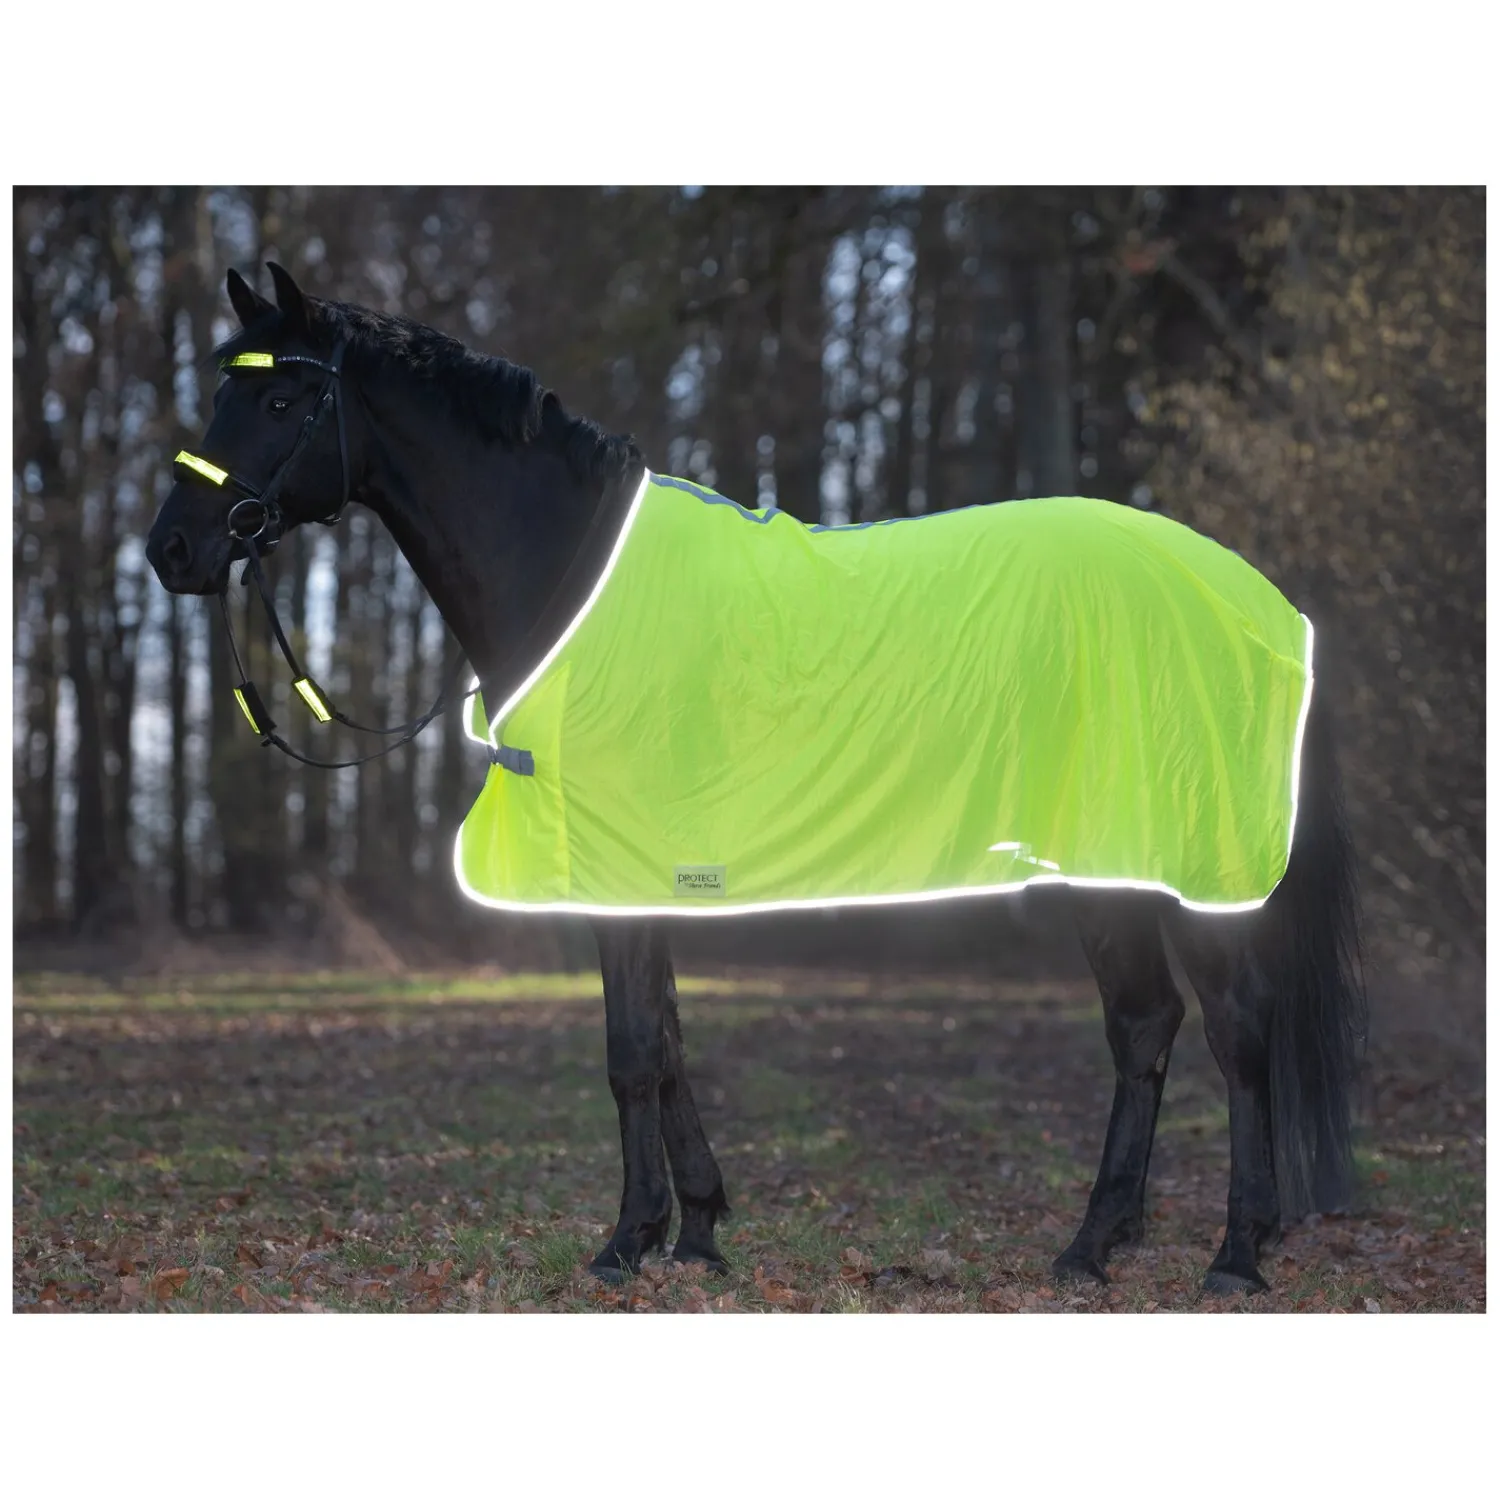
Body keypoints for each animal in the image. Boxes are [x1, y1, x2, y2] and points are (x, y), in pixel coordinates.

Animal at [145, 263, 1365, 1295]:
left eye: (282, 403)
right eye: (221, 394)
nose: (171, 551)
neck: (571, 578)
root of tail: (1257, 602)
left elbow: (633, 1054)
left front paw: (624, 1246)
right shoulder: (646, 868)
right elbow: (668, 1044)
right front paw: (693, 1229)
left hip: (1183, 860)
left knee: (1234, 1030)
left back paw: (1235, 1255)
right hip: (1108, 861)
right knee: (1146, 1027)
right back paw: (1093, 1246)